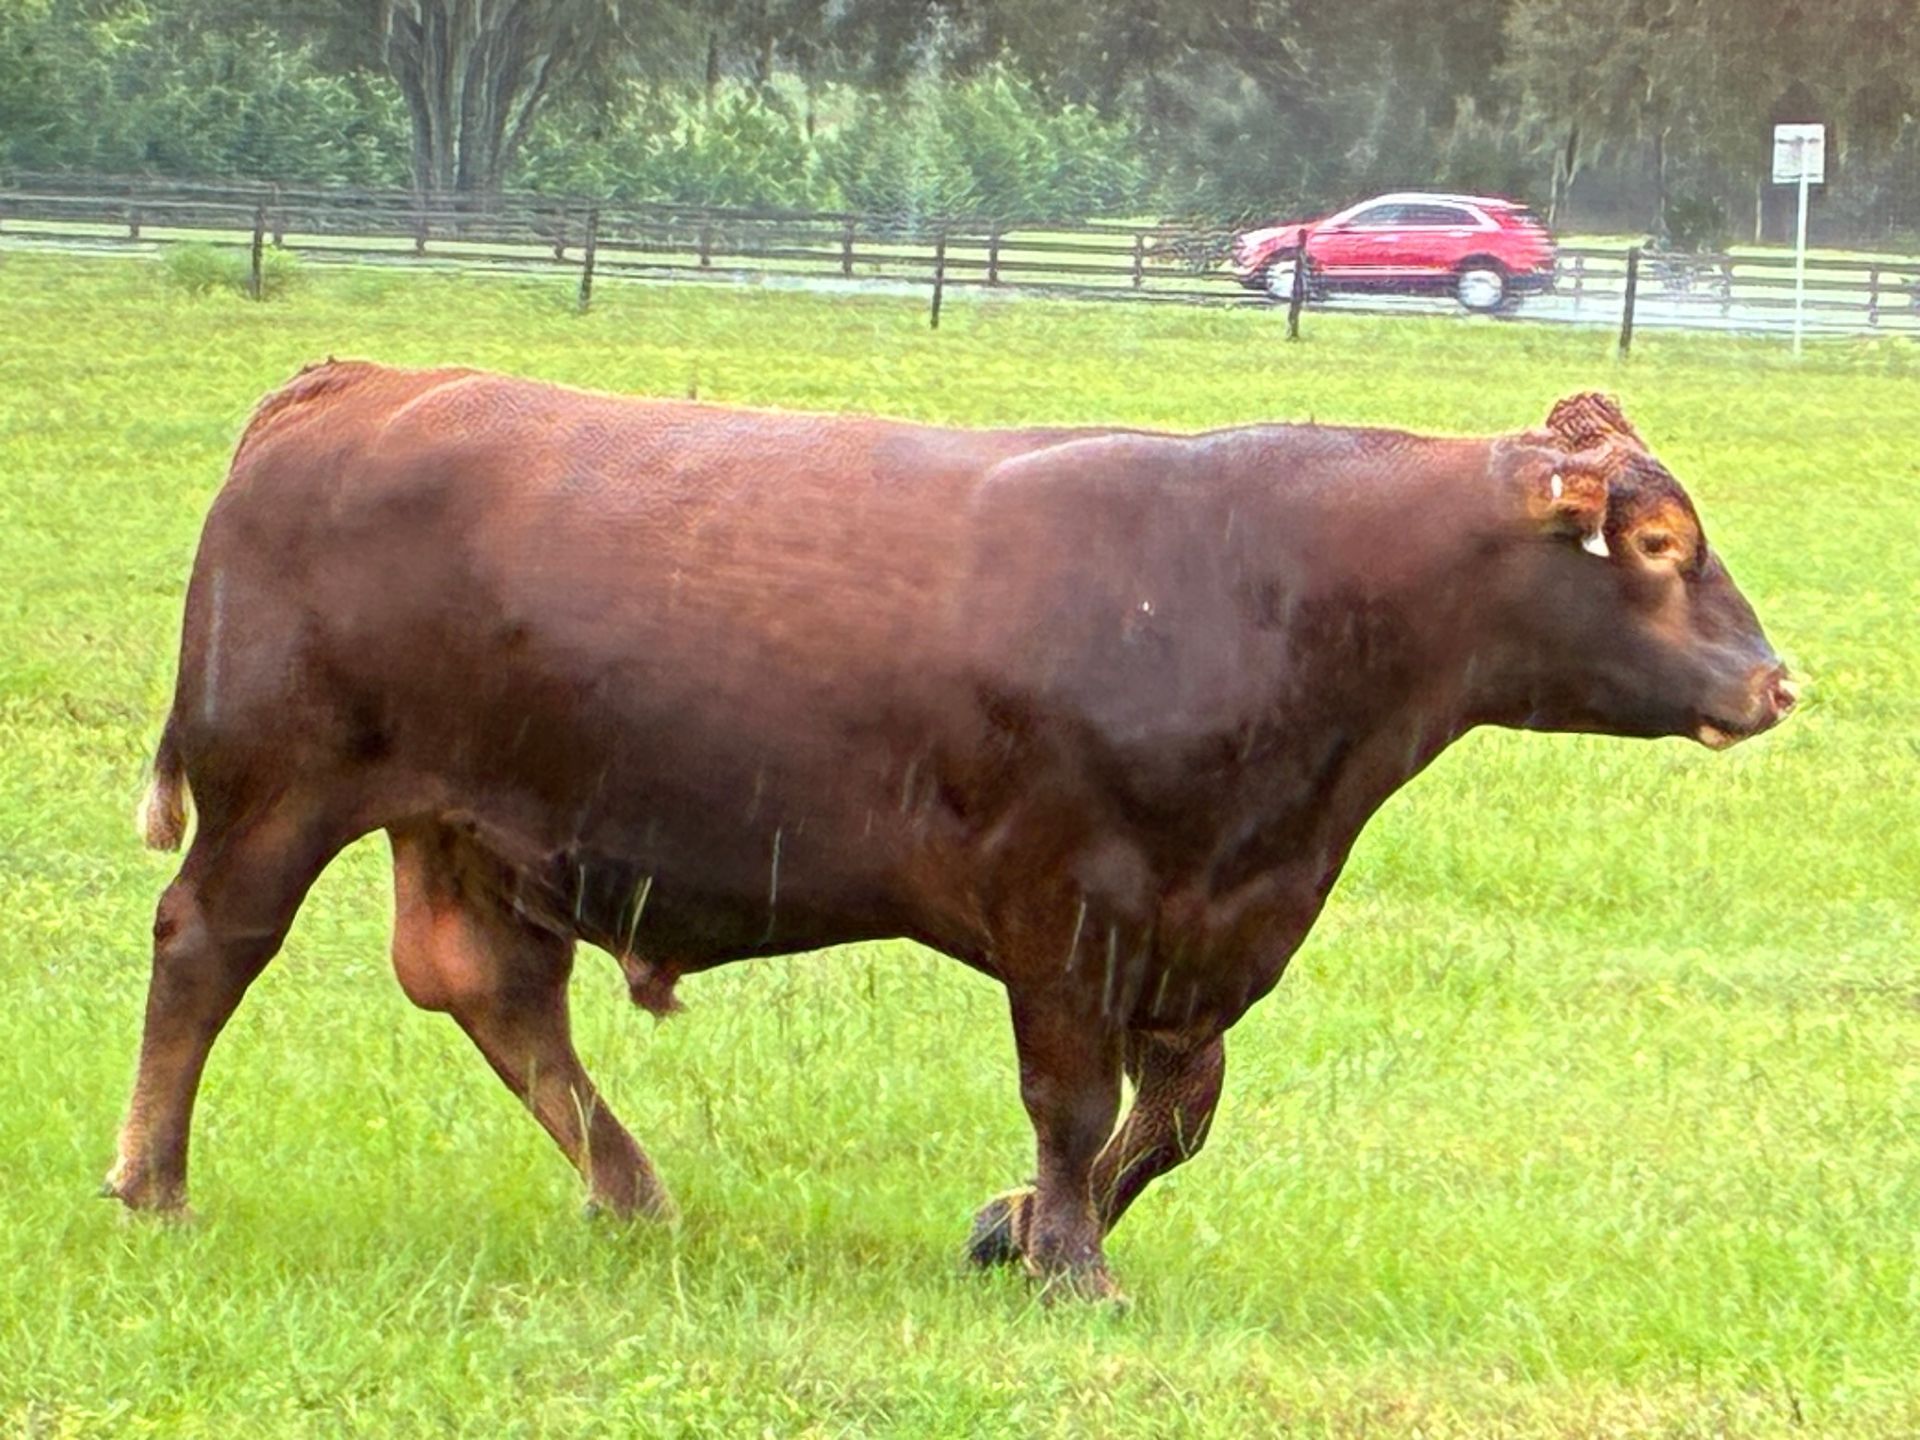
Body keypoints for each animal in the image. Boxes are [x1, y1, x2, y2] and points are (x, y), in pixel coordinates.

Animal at [111, 364, 1795, 1301]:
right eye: (1658, 543)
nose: (1776, 681)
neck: (1265, 583)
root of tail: (363, 383)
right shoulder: (1066, 911)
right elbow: (1074, 1099)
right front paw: (1068, 1262)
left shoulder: (1211, 926)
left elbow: (1177, 1116)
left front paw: (1015, 1229)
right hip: (279, 791)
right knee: (208, 951)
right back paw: (154, 1185)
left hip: (467, 823)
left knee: (497, 993)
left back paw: (636, 1194)